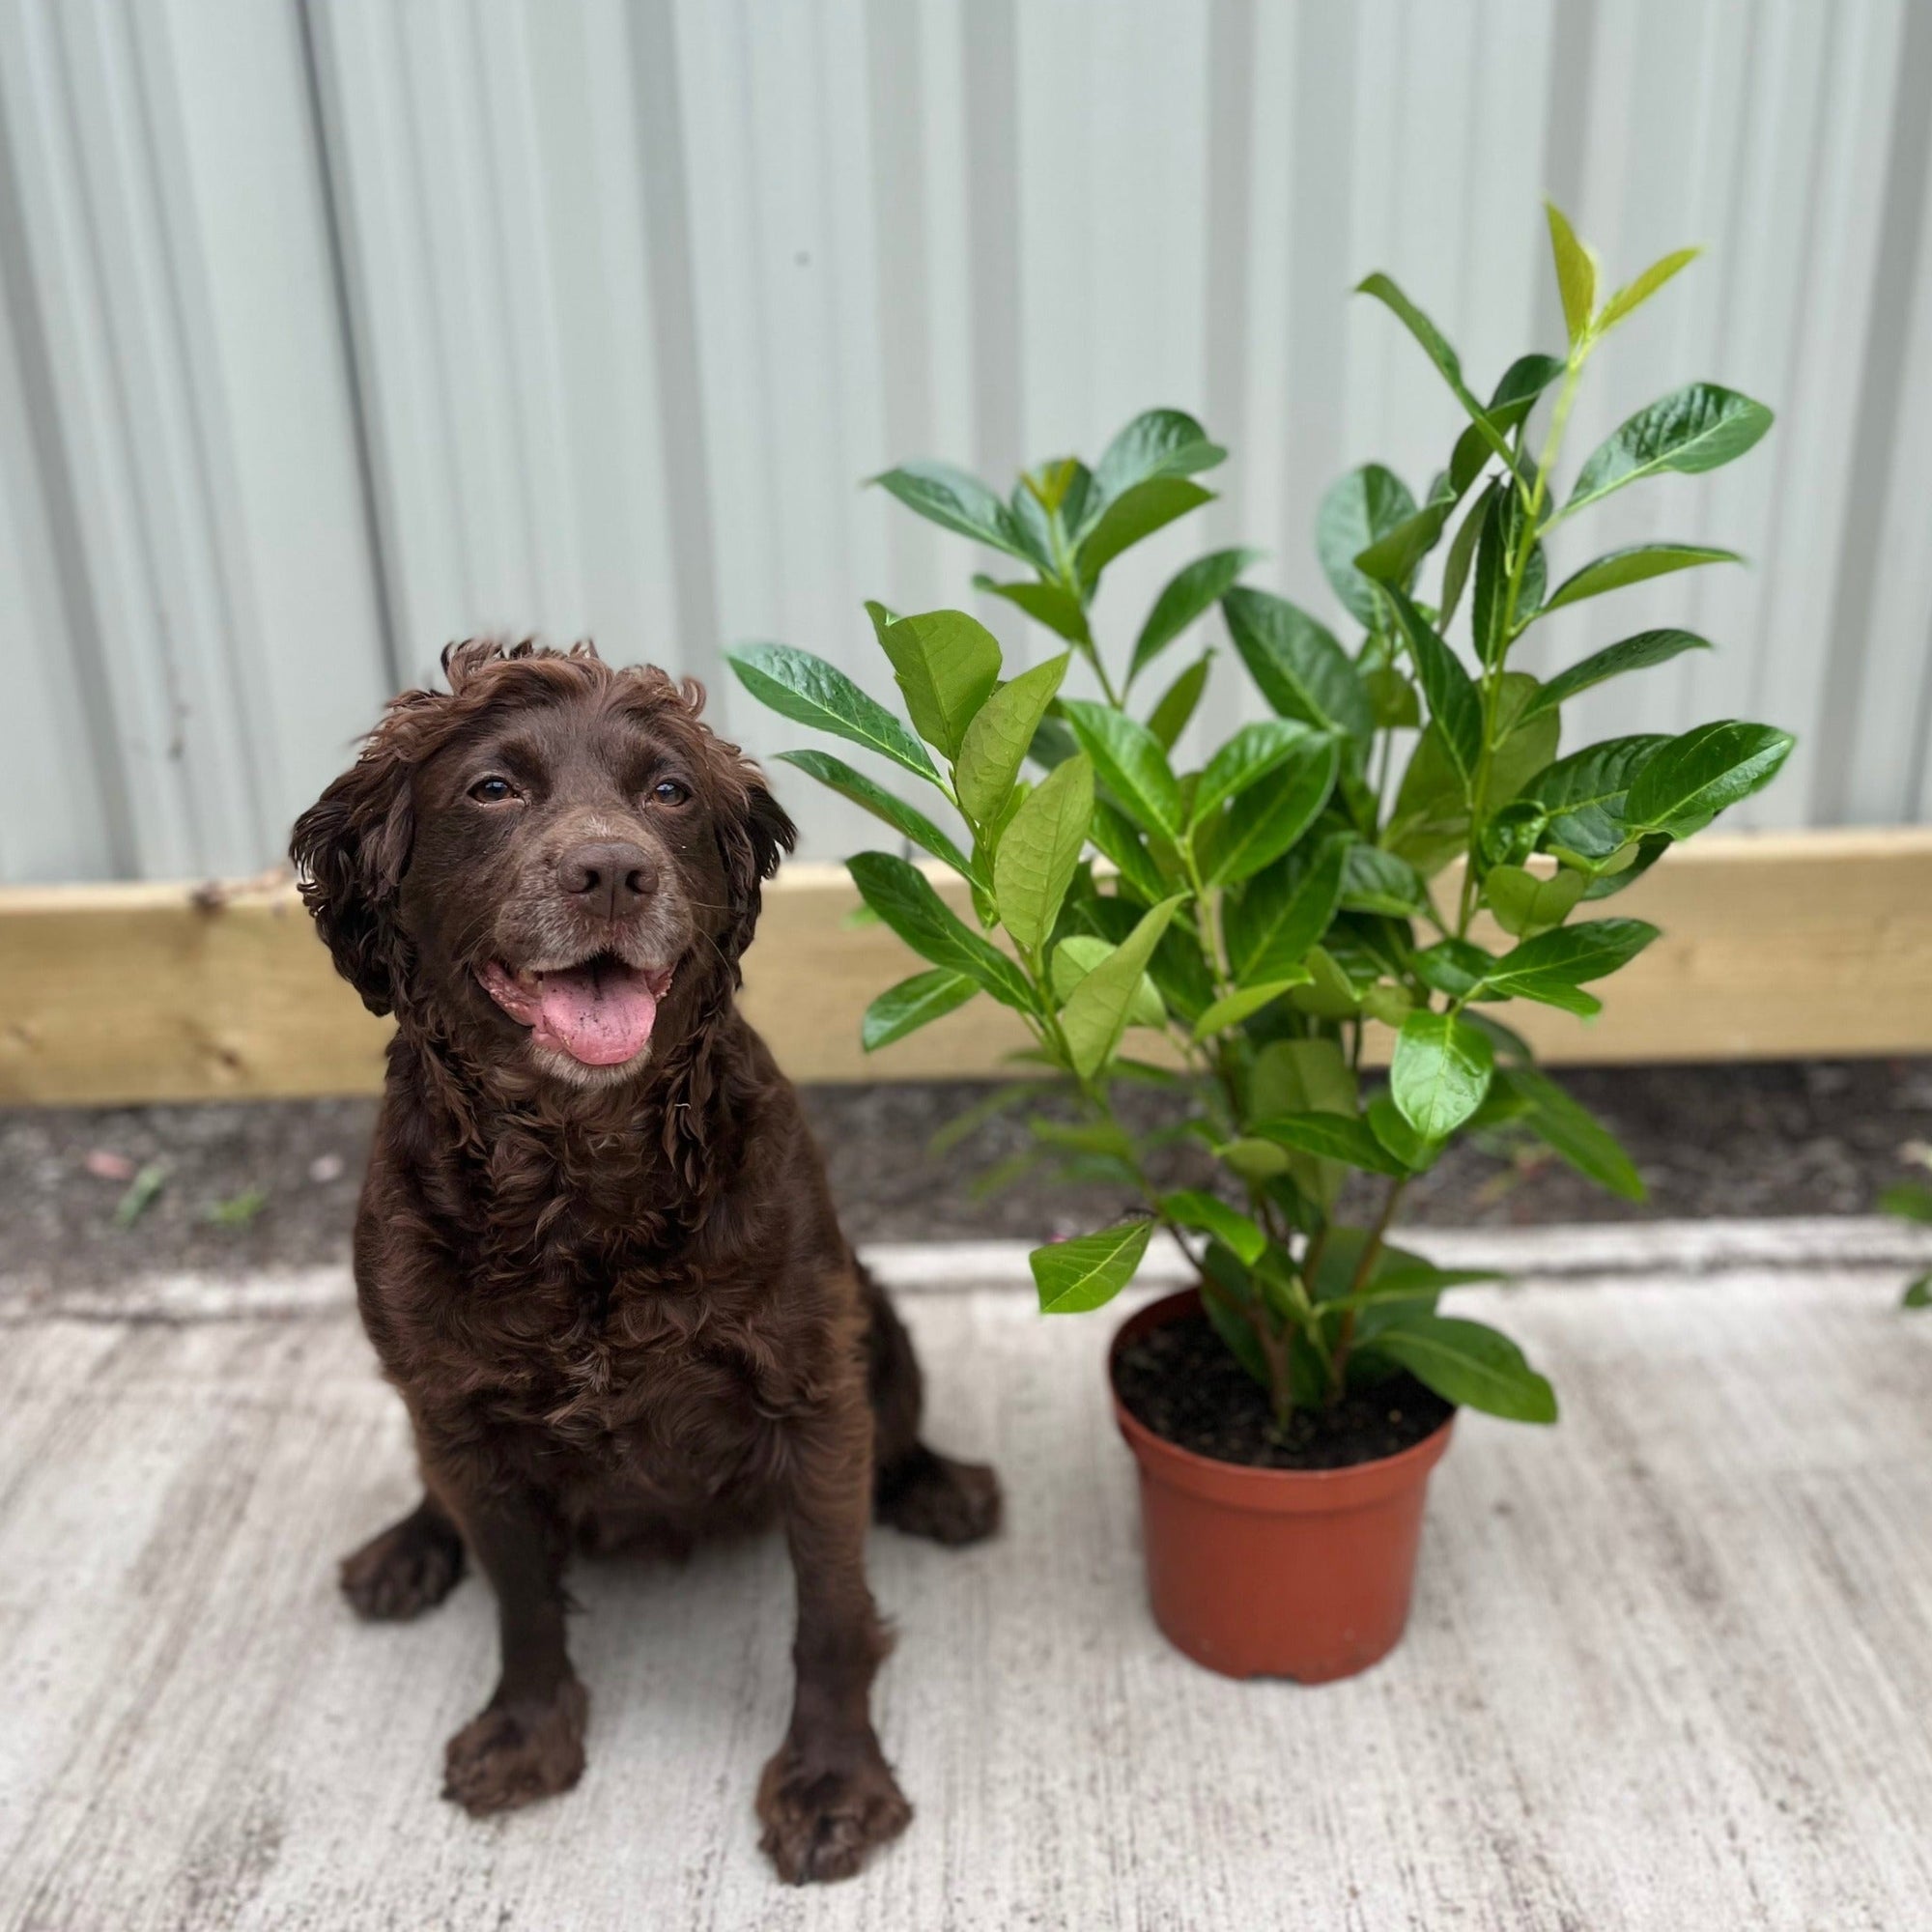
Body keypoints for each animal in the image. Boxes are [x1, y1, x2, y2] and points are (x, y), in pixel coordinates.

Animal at [298, 641, 1012, 1878]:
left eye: (668, 791)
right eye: (492, 788)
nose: (611, 872)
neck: (580, 1171)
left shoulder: (810, 1388)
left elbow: (830, 1608)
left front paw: (833, 1779)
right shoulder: (459, 1407)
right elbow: (521, 1595)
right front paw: (526, 1732)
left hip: (873, 1312)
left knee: (898, 1427)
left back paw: (939, 1485)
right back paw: (405, 1547)